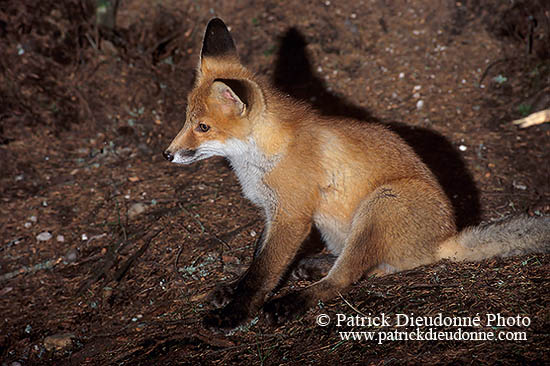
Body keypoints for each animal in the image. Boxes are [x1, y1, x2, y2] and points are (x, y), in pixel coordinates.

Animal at [164, 18, 550, 330]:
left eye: (203, 127)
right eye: (186, 120)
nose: (167, 154)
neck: (262, 157)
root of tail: (444, 239)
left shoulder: (291, 216)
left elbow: (262, 273)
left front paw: (234, 314)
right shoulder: (272, 213)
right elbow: (257, 260)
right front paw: (232, 289)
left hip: (380, 205)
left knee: (345, 279)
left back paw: (295, 300)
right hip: (342, 226)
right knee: (364, 267)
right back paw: (316, 265)